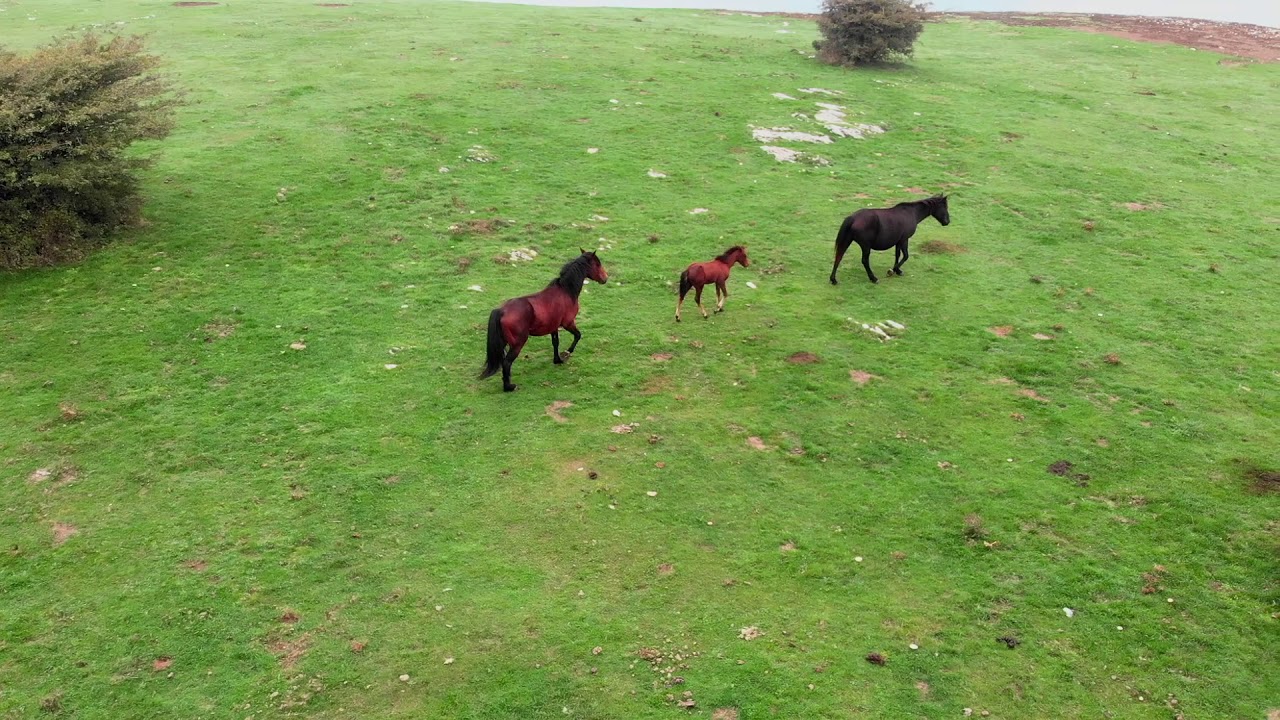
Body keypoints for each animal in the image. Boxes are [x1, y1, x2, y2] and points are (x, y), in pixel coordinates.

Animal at [480, 250, 608, 392]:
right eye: (597, 264)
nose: (605, 278)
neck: (566, 291)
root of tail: (502, 310)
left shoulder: (554, 327)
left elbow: (555, 343)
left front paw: (557, 360)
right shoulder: (568, 323)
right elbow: (578, 335)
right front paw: (567, 352)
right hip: (518, 343)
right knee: (507, 362)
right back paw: (509, 387)